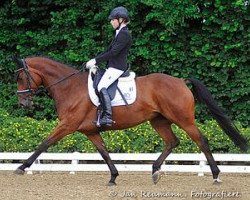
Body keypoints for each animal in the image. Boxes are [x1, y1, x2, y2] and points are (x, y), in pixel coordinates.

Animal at [13, 55, 248, 185]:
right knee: (172, 141)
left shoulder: (67, 125)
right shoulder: (90, 131)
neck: (69, 87)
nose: (23, 103)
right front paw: (113, 177)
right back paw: (155, 171)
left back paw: (216, 175)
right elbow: (104, 153)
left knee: (201, 141)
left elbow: (44, 143)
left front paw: (22, 167)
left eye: (21, 76)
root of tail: (181, 81)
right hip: (159, 121)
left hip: (183, 119)